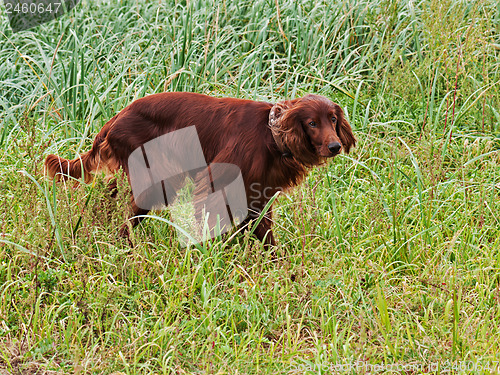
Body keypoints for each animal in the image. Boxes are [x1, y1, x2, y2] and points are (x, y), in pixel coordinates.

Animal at [44, 92, 356, 248]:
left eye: (332, 119)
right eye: (312, 123)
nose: (335, 146)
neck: (270, 134)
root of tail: (116, 117)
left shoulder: (256, 194)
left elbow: (263, 231)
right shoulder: (217, 183)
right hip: (158, 179)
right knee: (129, 220)